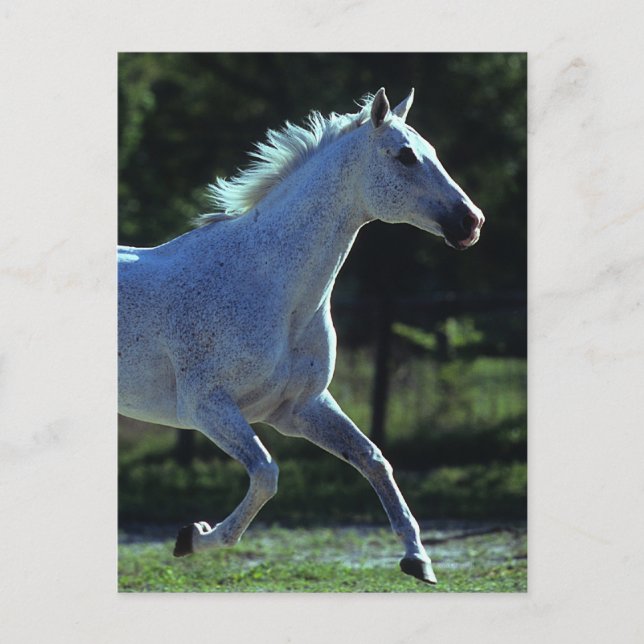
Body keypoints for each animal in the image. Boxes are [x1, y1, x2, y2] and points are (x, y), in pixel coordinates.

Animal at [118, 87, 484, 585]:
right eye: (406, 155)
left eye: (433, 152)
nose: (472, 223)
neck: (268, 285)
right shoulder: (206, 406)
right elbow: (267, 474)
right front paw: (192, 538)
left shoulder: (300, 408)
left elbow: (373, 459)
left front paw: (418, 560)